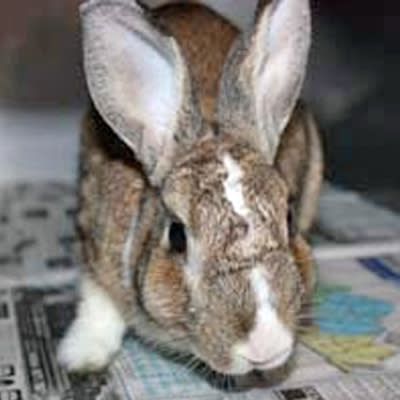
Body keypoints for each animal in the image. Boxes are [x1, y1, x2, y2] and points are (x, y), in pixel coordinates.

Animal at [57, 0, 324, 376]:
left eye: (289, 217)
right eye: (177, 235)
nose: (266, 346)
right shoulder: (95, 239)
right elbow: (98, 301)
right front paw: (80, 358)